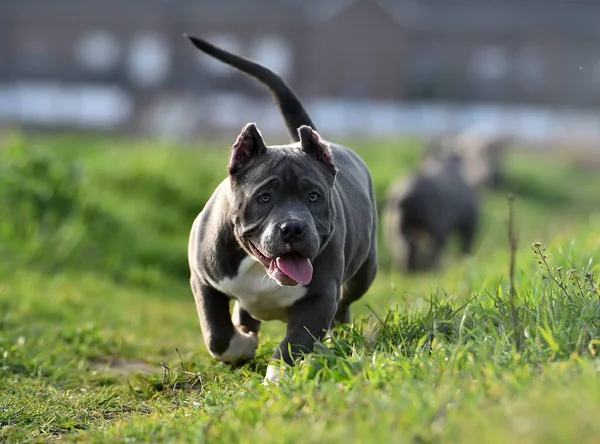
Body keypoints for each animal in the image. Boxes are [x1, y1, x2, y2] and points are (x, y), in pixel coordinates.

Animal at [185, 36, 378, 386]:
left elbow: (295, 341)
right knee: (243, 313)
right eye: (264, 197)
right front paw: (243, 344)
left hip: (364, 272)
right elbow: (217, 335)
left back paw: (337, 337)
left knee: (344, 305)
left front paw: (278, 376)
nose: (293, 228)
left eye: (314, 196)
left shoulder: (320, 297)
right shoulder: (203, 280)